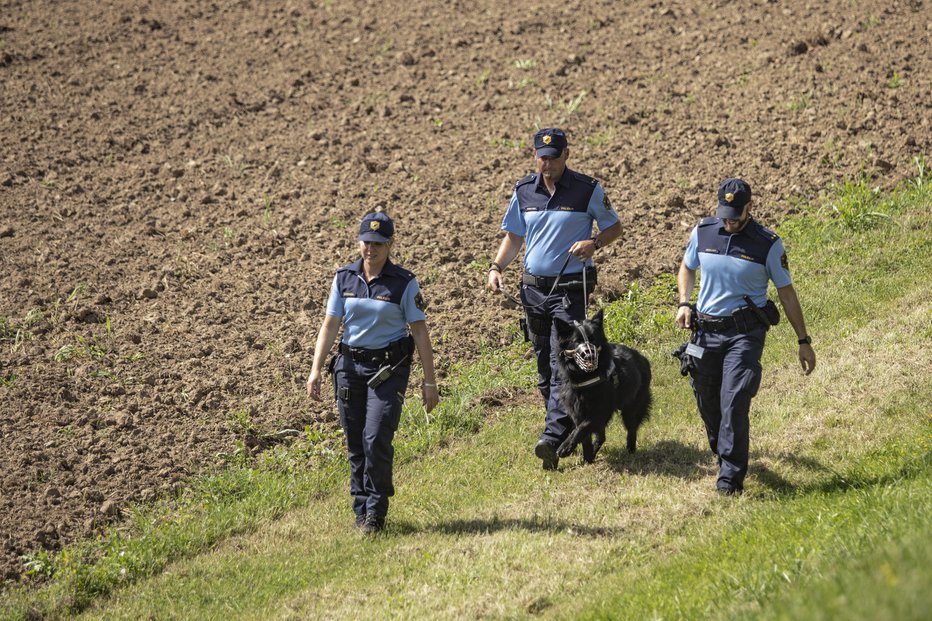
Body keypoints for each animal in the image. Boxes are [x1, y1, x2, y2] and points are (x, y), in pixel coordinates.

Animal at [556, 308, 652, 462]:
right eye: (577, 342)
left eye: (593, 339)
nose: (589, 356)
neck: (586, 377)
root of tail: (642, 357)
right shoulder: (577, 411)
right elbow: (584, 435)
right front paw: (587, 458)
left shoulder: (601, 409)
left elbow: (582, 428)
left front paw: (565, 447)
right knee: (602, 436)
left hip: (632, 407)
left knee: (631, 429)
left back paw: (630, 451)